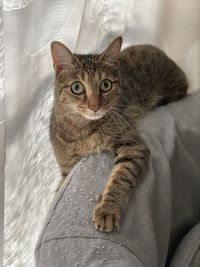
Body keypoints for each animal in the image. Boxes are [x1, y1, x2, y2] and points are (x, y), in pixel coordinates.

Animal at [50, 37, 188, 232]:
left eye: (106, 85)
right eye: (77, 87)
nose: (95, 106)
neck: (84, 130)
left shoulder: (133, 146)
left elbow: (120, 178)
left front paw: (107, 209)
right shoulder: (67, 169)